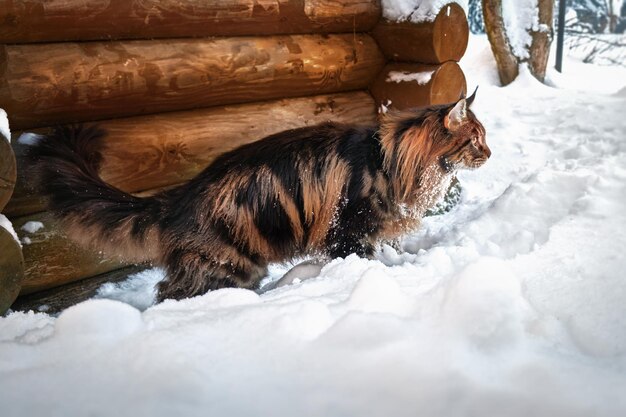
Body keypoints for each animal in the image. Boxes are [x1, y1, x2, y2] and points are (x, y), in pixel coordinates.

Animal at [28, 89, 488, 300]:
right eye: (475, 140)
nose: (490, 153)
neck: (390, 159)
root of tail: (179, 196)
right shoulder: (349, 228)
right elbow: (360, 259)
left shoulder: (373, 229)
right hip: (226, 267)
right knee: (172, 293)